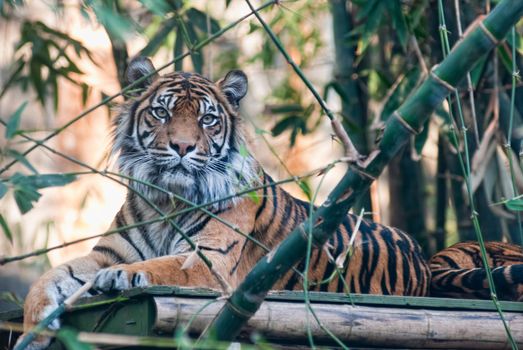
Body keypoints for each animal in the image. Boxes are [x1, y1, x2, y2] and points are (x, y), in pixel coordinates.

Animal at [19, 56, 430, 348]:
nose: (182, 146)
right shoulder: (107, 252)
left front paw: (119, 277)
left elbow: (161, 266)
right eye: (162, 112)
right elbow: (48, 277)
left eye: (207, 119)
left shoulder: (208, 262)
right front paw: (31, 331)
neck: (167, 202)